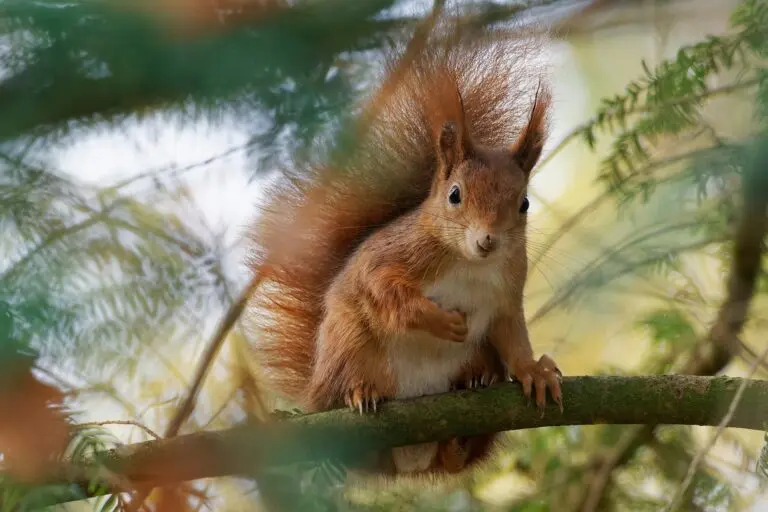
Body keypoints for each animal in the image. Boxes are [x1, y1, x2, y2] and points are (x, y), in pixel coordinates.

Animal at [245, 21, 563, 477]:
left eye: (524, 204)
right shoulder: (393, 257)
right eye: (454, 195)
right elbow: (387, 292)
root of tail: (411, 459)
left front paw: (533, 371)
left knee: (455, 458)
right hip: (349, 343)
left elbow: (512, 337)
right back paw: (360, 393)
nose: (487, 240)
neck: (469, 263)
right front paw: (440, 321)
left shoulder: (506, 292)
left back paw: (472, 396)